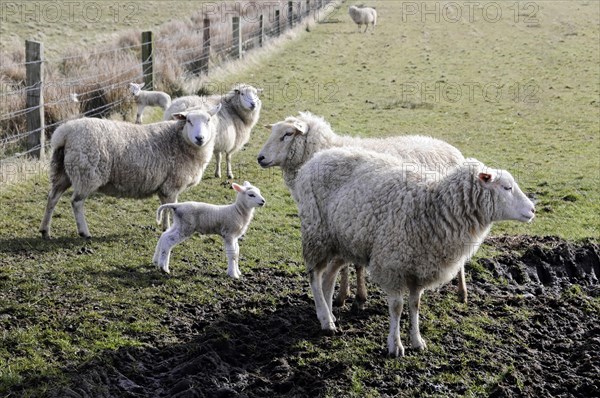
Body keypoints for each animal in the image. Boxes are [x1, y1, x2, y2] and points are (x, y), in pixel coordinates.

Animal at [40, 103, 223, 239]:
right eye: (189, 121)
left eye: (208, 120)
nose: (200, 138)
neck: (178, 140)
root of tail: (64, 133)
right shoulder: (172, 184)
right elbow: (170, 208)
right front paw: (168, 228)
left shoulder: (164, 187)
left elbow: (164, 207)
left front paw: (165, 227)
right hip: (87, 174)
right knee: (76, 202)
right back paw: (84, 232)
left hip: (62, 172)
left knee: (52, 198)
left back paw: (45, 230)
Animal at [255, 110, 466, 310]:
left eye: (288, 134)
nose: (260, 158)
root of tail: (452, 149)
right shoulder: (341, 221)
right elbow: (344, 264)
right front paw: (343, 295)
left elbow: (355, 264)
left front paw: (358, 297)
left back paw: (462, 292)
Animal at [296, 147, 536, 358]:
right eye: (507, 188)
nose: (533, 210)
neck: (433, 207)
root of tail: (316, 158)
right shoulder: (392, 265)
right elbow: (396, 307)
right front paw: (395, 346)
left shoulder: (419, 268)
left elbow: (415, 305)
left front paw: (417, 341)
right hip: (316, 233)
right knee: (315, 276)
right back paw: (325, 319)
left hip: (342, 242)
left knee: (328, 277)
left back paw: (329, 316)